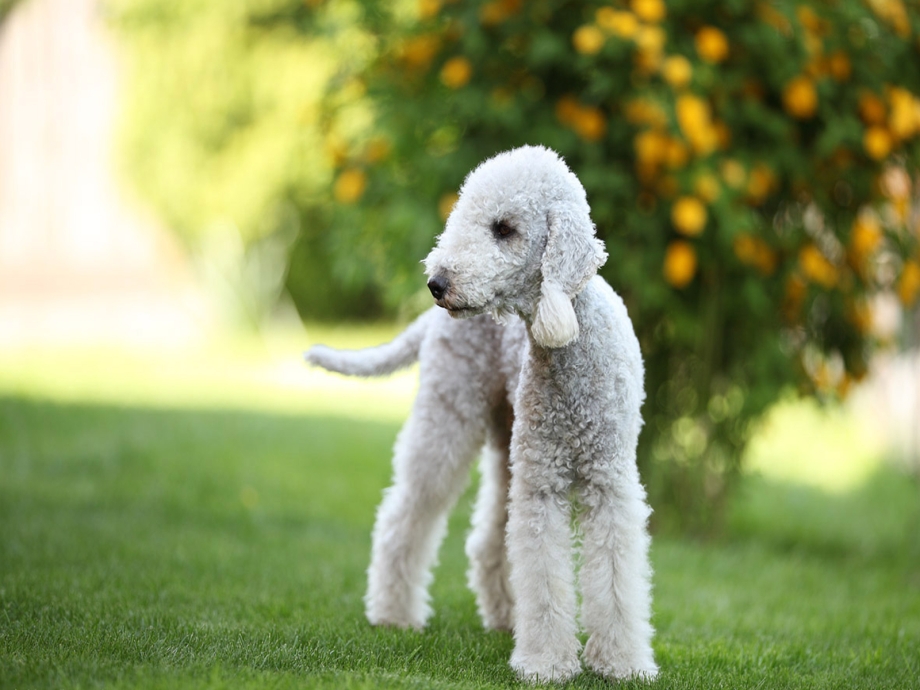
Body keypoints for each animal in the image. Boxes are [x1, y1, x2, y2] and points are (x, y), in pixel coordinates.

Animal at [306, 145, 656, 684]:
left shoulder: (609, 483)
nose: (437, 282)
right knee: (405, 515)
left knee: (487, 538)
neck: (571, 338)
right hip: (449, 414)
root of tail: (430, 322)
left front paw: (621, 664)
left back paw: (505, 617)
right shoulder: (541, 484)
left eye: (504, 228)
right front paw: (546, 665)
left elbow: (616, 577)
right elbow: (544, 575)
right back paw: (394, 614)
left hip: (504, 440)